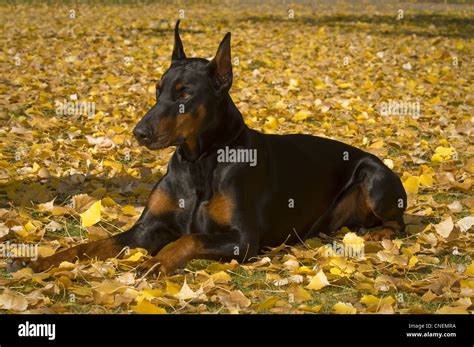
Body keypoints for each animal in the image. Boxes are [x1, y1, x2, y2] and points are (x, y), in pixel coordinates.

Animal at [14, 21, 408, 278]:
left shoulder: (243, 239)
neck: (198, 162)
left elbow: (189, 239)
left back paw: (380, 233)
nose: (139, 132)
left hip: (372, 174)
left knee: (398, 223)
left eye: (185, 93)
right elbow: (89, 246)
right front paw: (42, 262)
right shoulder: (145, 229)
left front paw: (155, 263)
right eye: (157, 90)